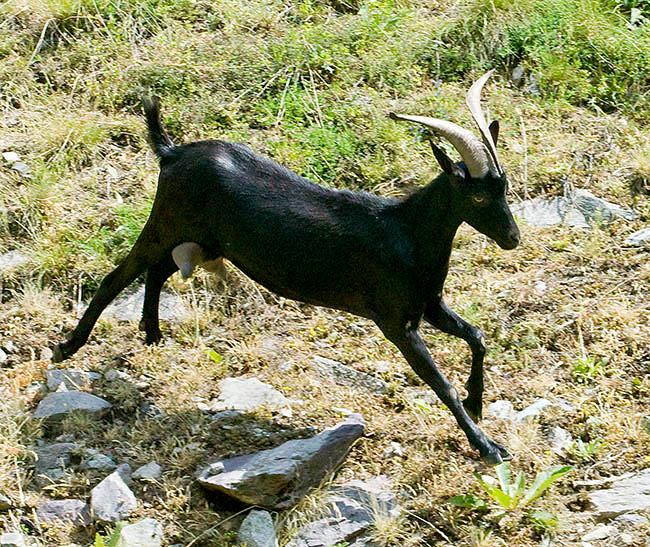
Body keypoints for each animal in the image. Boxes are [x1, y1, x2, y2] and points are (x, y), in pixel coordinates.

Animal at [53, 70, 520, 464]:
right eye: (478, 196)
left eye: (505, 186)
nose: (513, 238)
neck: (407, 232)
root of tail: (170, 152)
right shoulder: (397, 322)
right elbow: (441, 385)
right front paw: (488, 446)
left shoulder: (429, 305)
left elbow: (477, 337)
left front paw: (477, 401)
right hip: (165, 223)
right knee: (118, 276)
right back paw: (68, 347)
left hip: (199, 238)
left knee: (157, 272)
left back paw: (151, 334)